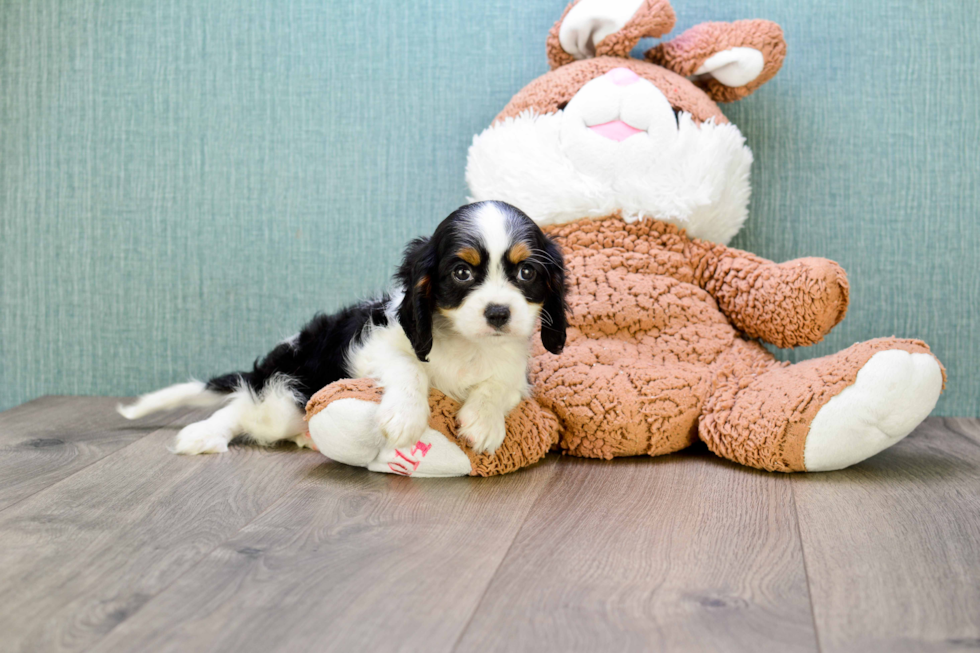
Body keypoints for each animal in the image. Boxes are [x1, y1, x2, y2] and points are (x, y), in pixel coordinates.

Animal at [118, 201, 572, 456]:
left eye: (527, 272)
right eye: (462, 272)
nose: (498, 313)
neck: (469, 345)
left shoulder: (513, 373)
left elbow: (497, 385)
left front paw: (484, 422)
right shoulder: (375, 348)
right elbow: (409, 368)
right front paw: (405, 416)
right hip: (282, 399)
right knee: (242, 408)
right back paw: (203, 434)